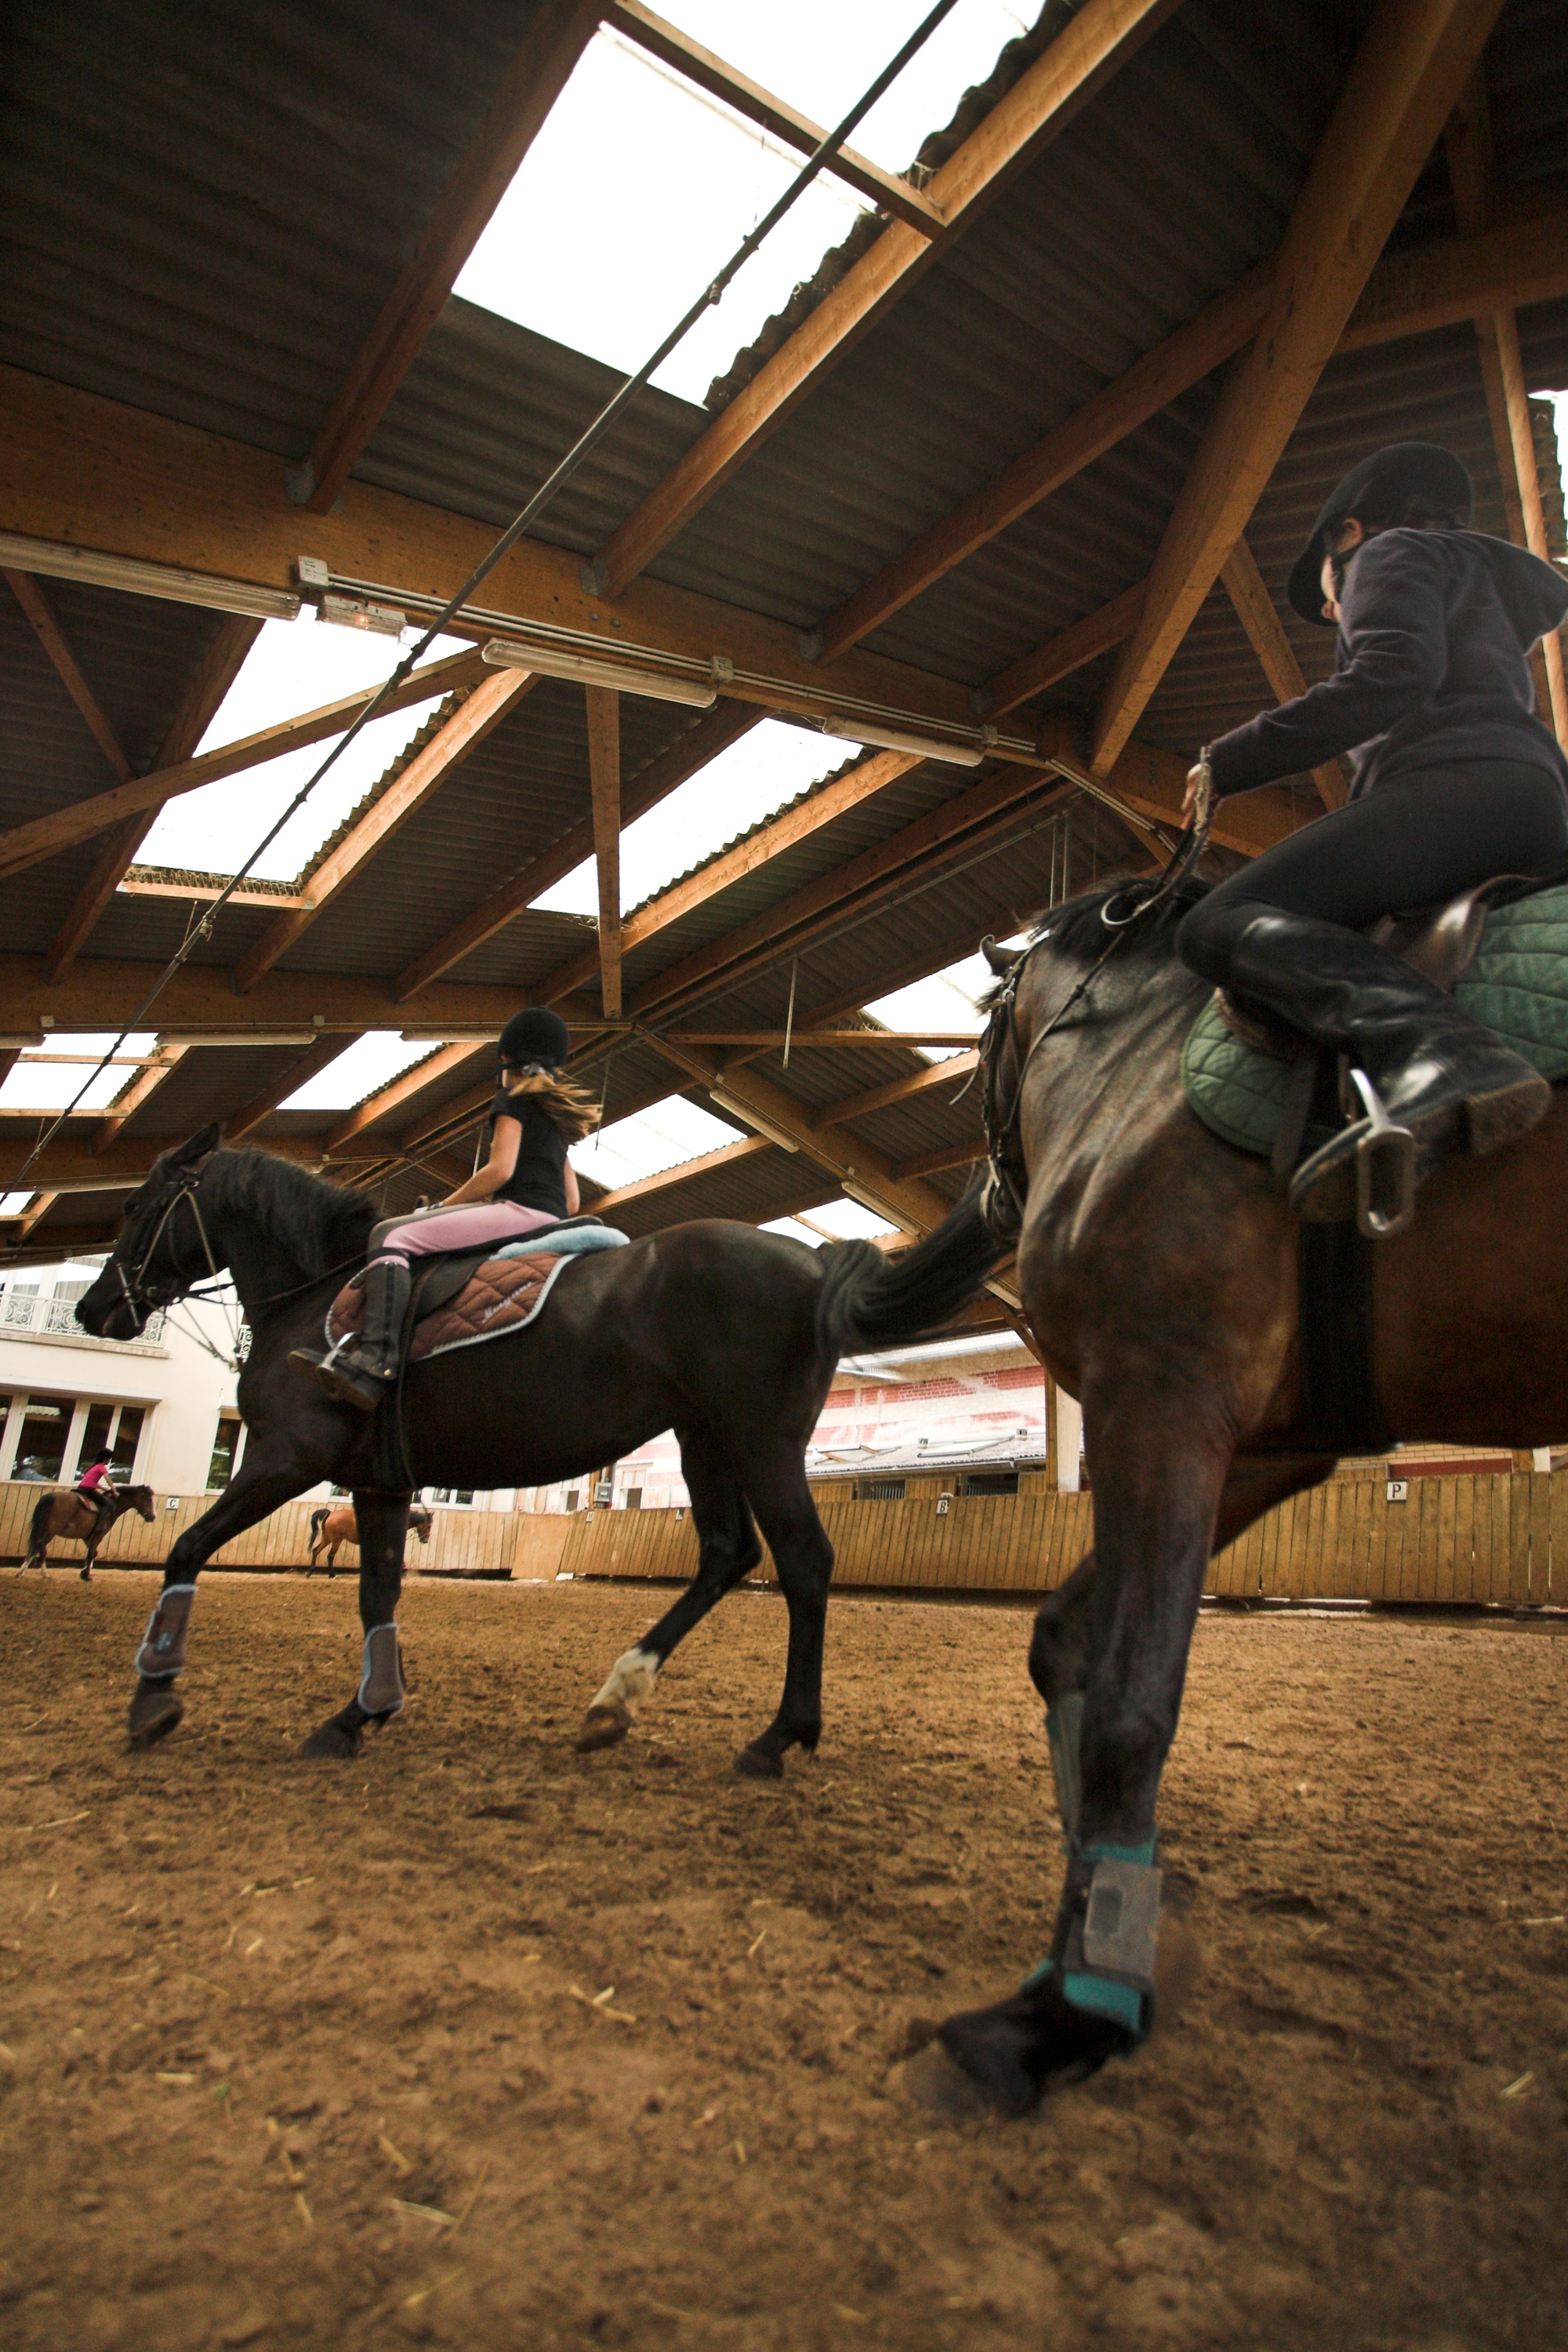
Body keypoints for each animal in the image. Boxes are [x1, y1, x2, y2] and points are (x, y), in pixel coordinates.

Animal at [20, 1486, 156, 1581]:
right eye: (149, 1499)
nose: (153, 1517)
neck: (113, 1507)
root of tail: (51, 1497)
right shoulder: (99, 1535)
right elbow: (91, 1553)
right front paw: (86, 1575)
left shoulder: (87, 1537)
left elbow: (93, 1553)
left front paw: (84, 1572)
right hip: (51, 1531)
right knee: (38, 1547)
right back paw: (22, 1571)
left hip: (44, 1529)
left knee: (41, 1549)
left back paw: (45, 1574)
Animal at [73, 1124, 1001, 1769]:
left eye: (138, 1208)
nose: (93, 1310)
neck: (315, 1296)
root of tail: (810, 1260)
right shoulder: (377, 1484)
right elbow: (377, 1596)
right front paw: (362, 1713)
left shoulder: (283, 1459)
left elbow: (186, 1548)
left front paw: (153, 1701)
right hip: (704, 1436)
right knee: (727, 1555)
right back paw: (615, 1701)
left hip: (757, 1439)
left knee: (803, 1562)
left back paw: (777, 1738)